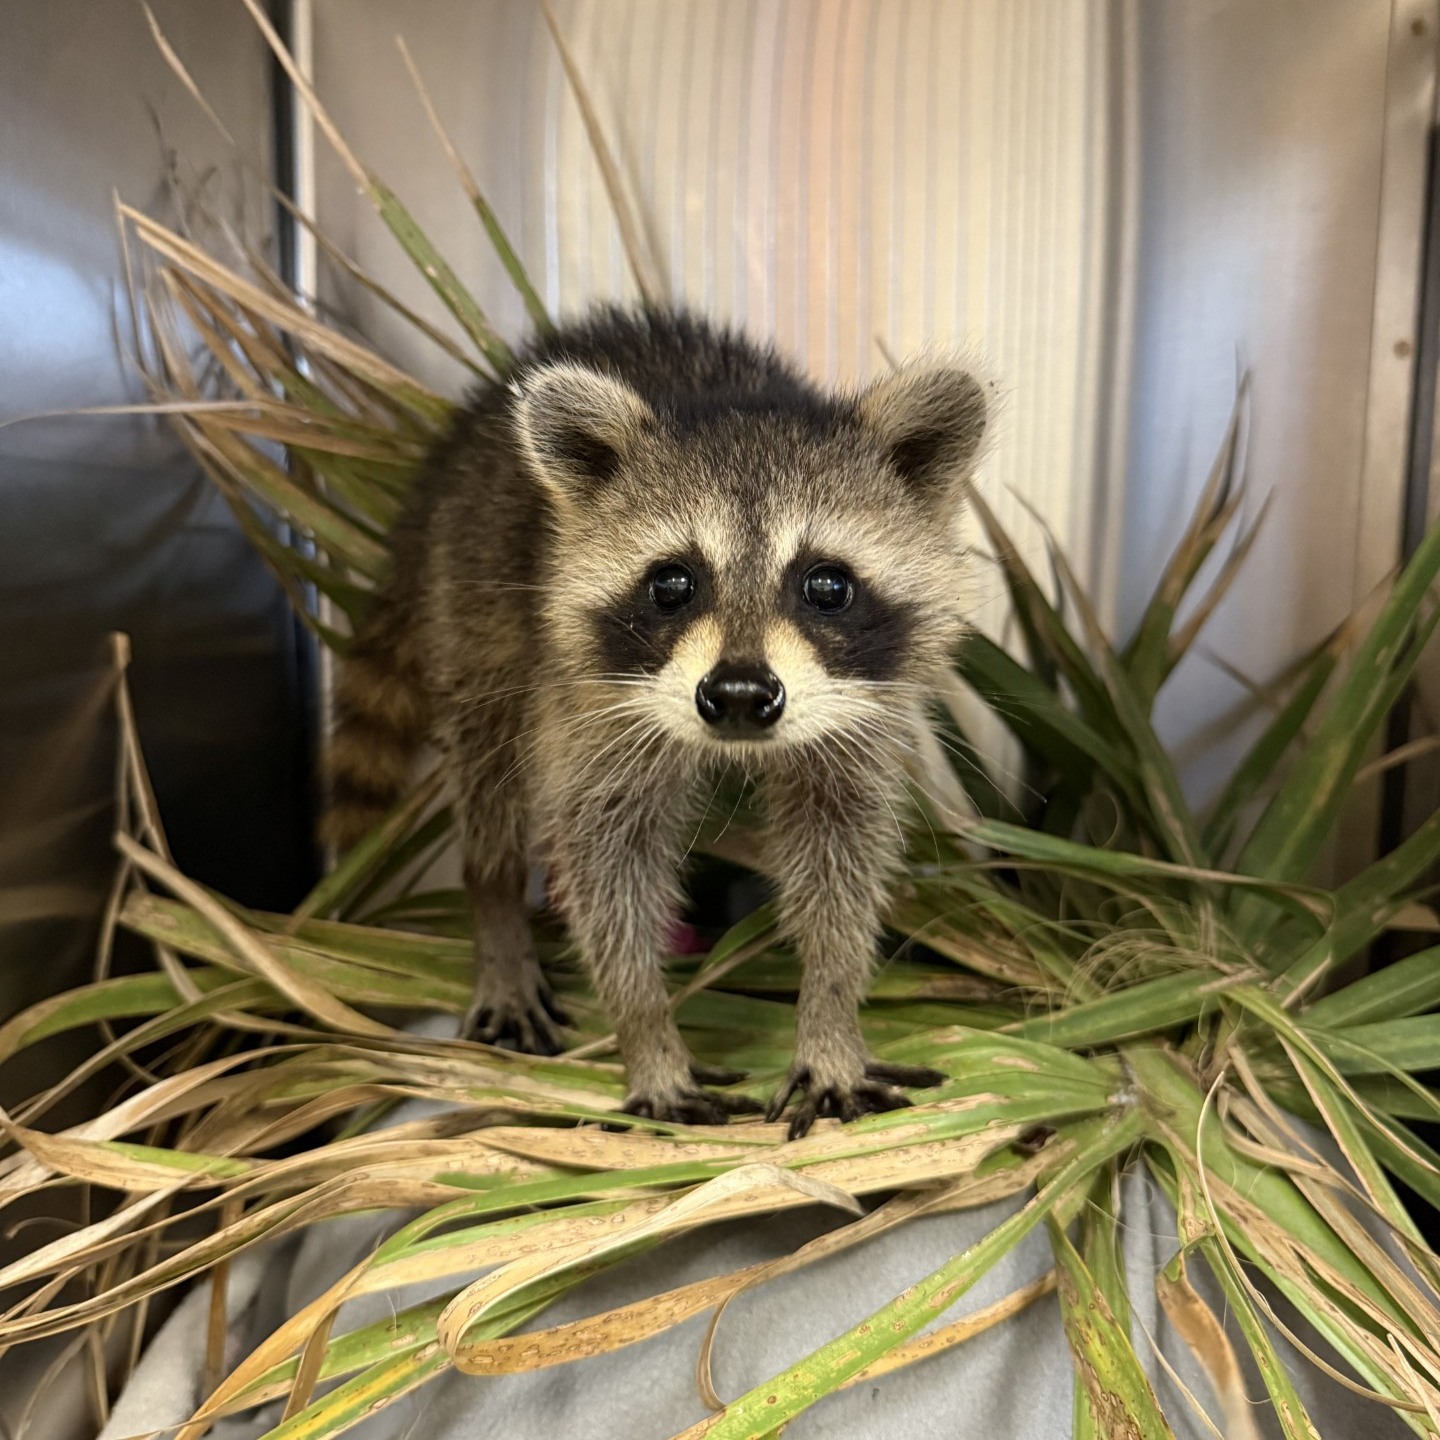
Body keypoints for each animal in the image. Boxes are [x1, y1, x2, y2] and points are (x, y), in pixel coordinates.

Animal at [324, 307, 989, 1138]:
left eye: (827, 585)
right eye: (672, 583)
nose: (738, 694)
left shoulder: (857, 715)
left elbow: (842, 854)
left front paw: (832, 1016)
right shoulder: (593, 708)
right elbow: (607, 864)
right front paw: (645, 1031)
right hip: (475, 602)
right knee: (491, 777)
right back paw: (496, 904)